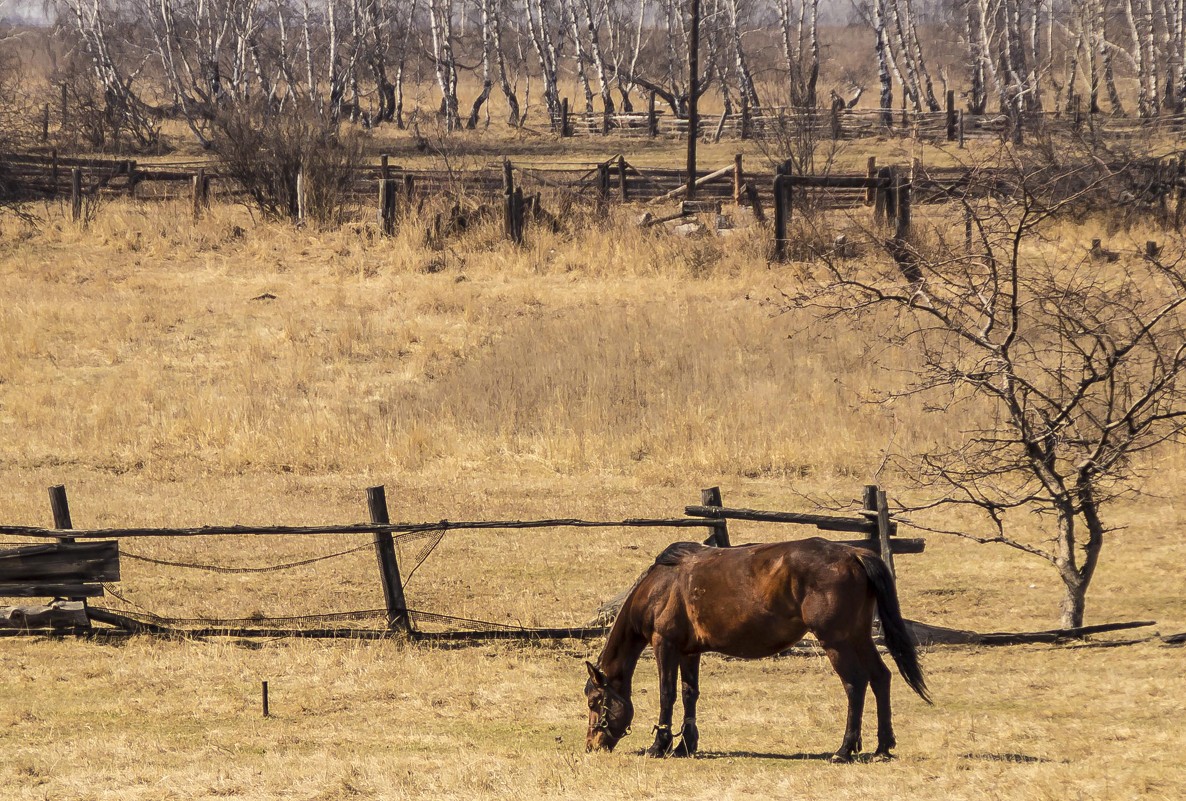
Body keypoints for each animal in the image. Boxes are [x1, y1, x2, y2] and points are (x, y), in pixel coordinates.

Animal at [588, 541, 929, 759]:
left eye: (595, 702)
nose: (592, 744)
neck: (662, 585)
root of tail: (854, 553)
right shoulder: (689, 651)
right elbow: (689, 694)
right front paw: (685, 745)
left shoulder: (665, 645)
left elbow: (667, 695)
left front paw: (659, 746)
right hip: (858, 637)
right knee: (880, 677)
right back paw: (882, 747)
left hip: (837, 641)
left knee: (855, 684)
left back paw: (845, 749)